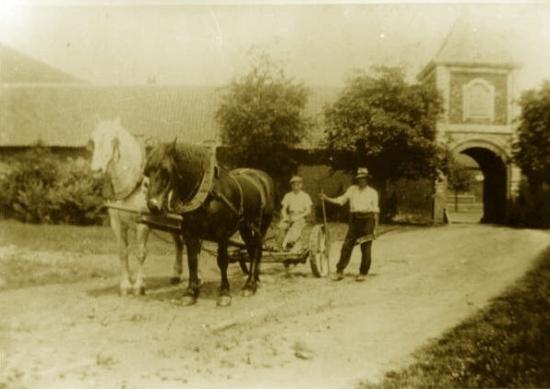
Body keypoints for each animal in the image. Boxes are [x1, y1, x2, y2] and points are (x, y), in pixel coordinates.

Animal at [90, 118, 185, 294]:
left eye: (114, 140)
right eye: (92, 140)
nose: (96, 170)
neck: (132, 181)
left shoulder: (143, 224)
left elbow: (141, 253)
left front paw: (139, 285)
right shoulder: (117, 223)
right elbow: (122, 252)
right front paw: (125, 285)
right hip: (172, 222)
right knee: (179, 243)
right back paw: (176, 275)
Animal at [144, 140, 276, 306]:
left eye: (165, 169)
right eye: (147, 171)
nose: (153, 205)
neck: (207, 194)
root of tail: (263, 177)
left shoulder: (222, 233)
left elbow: (222, 261)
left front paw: (224, 293)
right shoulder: (190, 233)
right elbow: (192, 261)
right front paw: (190, 293)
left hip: (260, 224)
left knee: (257, 248)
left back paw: (250, 285)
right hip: (245, 226)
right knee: (251, 249)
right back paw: (254, 280)